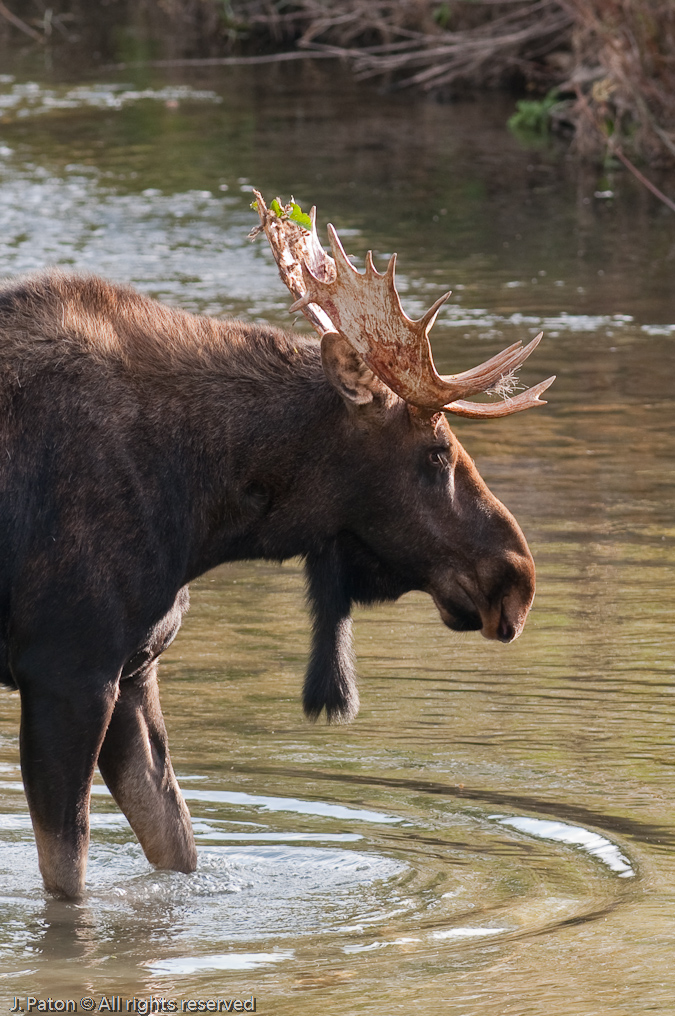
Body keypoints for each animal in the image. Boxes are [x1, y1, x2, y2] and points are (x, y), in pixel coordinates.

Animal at [0, 191, 554, 898]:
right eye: (436, 452)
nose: (518, 577)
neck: (203, 513)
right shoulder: (66, 669)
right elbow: (68, 877)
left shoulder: (133, 670)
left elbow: (177, 843)